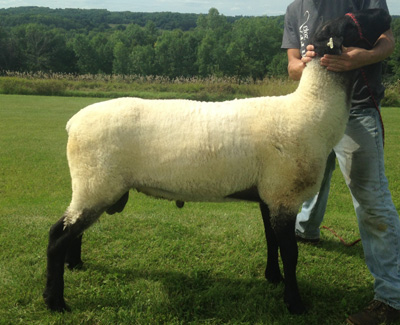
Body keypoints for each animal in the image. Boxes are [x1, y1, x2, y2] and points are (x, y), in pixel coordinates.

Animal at [43, 8, 390, 314]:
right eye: (350, 24)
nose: (386, 16)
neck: (311, 110)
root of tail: (73, 122)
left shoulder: (268, 194)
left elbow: (272, 242)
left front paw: (273, 278)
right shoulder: (284, 194)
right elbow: (290, 253)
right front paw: (295, 303)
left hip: (96, 185)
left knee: (71, 231)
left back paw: (76, 265)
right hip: (96, 182)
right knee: (58, 236)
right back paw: (55, 301)